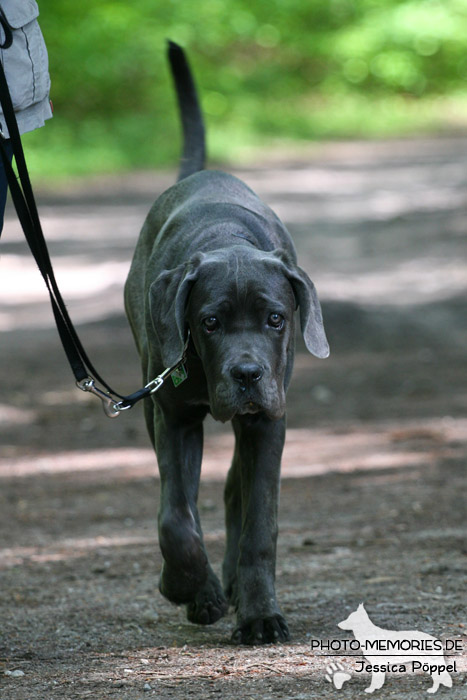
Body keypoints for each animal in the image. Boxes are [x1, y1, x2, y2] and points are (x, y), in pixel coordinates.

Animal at [124, 42, 330, 644]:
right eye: (210, 323)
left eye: (276, 319)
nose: (246, 375)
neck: (226, 241)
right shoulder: (171, 416)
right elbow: (175, 517)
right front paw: (190, 589)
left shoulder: (267, 422)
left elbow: (260, 521)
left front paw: (260, 614)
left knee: (236, 491)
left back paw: (238, 585)